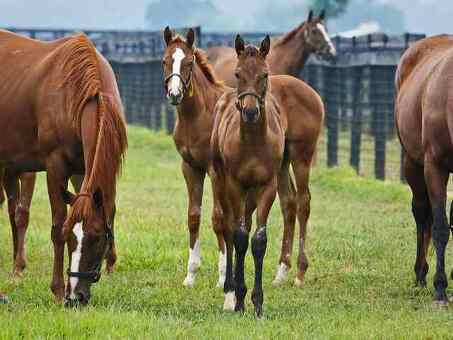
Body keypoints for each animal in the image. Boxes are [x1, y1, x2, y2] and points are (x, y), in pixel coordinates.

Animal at [0, 29, 127, 306]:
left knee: (15, 211)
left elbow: (108, 208)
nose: (76, 296)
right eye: (71, 237)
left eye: (97, 237)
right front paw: (58, 290)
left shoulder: (83, 169)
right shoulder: (55, 166)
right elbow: (56, 224)